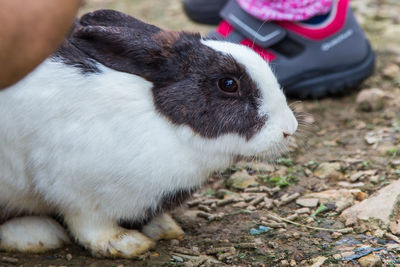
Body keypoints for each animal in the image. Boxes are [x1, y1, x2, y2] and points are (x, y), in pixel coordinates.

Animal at [0, 9, 296, 258]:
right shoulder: (72, 187)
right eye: (228, 84)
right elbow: (90, 224)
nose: (289, 129)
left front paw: (164, 227)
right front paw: (126, 243)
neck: (166, 124)